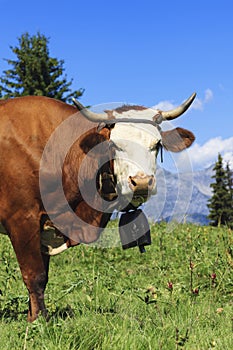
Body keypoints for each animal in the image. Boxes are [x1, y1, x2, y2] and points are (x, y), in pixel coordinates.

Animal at [0, 92, 196, 320]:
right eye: (114, 145)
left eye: (157, 144)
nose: (141, 182)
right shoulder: (22, 218)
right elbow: (35, 275)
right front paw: (38, 320)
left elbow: (43, 276)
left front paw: (35, 315)